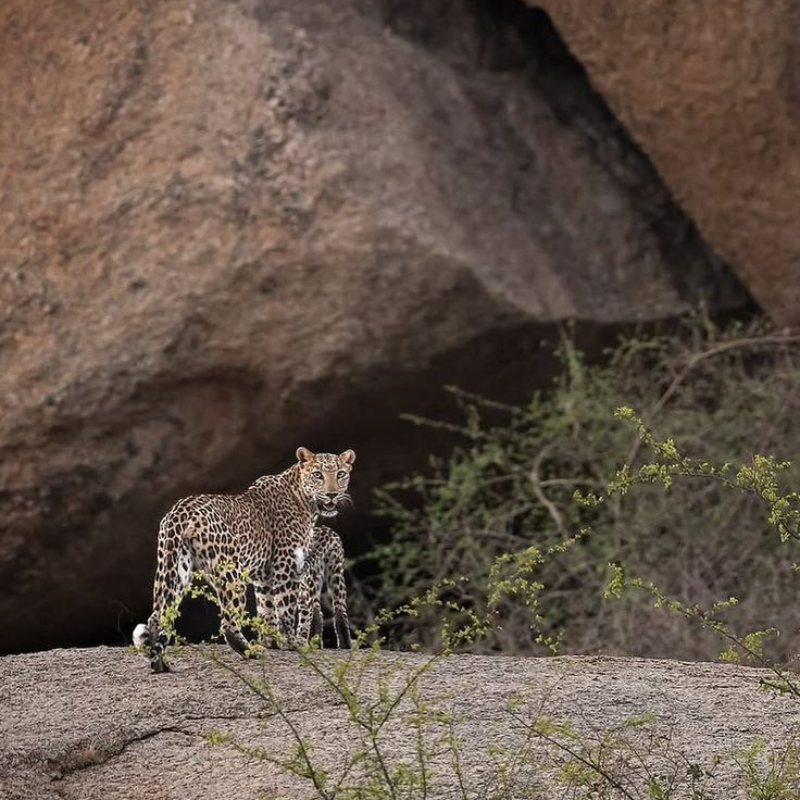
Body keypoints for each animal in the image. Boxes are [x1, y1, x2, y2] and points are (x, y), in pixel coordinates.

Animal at [132, 447, 356, 672]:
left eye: (340, 474)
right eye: (318, 475)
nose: (331, 494)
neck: (304, 500)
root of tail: (180, 511)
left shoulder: (264, 576)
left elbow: (267, 608)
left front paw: (272, 641)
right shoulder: (286, 567)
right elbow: (286, 609)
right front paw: (293, 642)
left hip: (174, 568)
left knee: (157, 617)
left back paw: (160, 664)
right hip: (231, 573)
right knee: (228, 622)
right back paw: (251, 651)